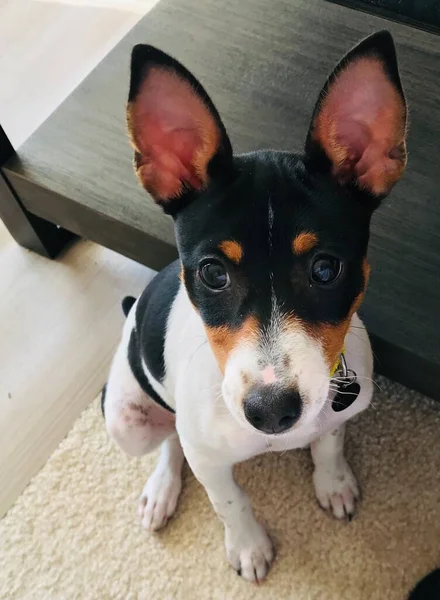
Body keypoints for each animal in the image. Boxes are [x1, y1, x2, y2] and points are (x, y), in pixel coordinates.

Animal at [101, 30, 408, 584]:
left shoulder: (335, 415)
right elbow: (229, 501)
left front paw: (333, 482)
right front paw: (247, 545)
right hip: (125, 419)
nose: (271, 411)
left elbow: (329, 443)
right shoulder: (210, 461)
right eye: (212, 273)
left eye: (325, 269)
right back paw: (161, 490)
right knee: (170, 440)